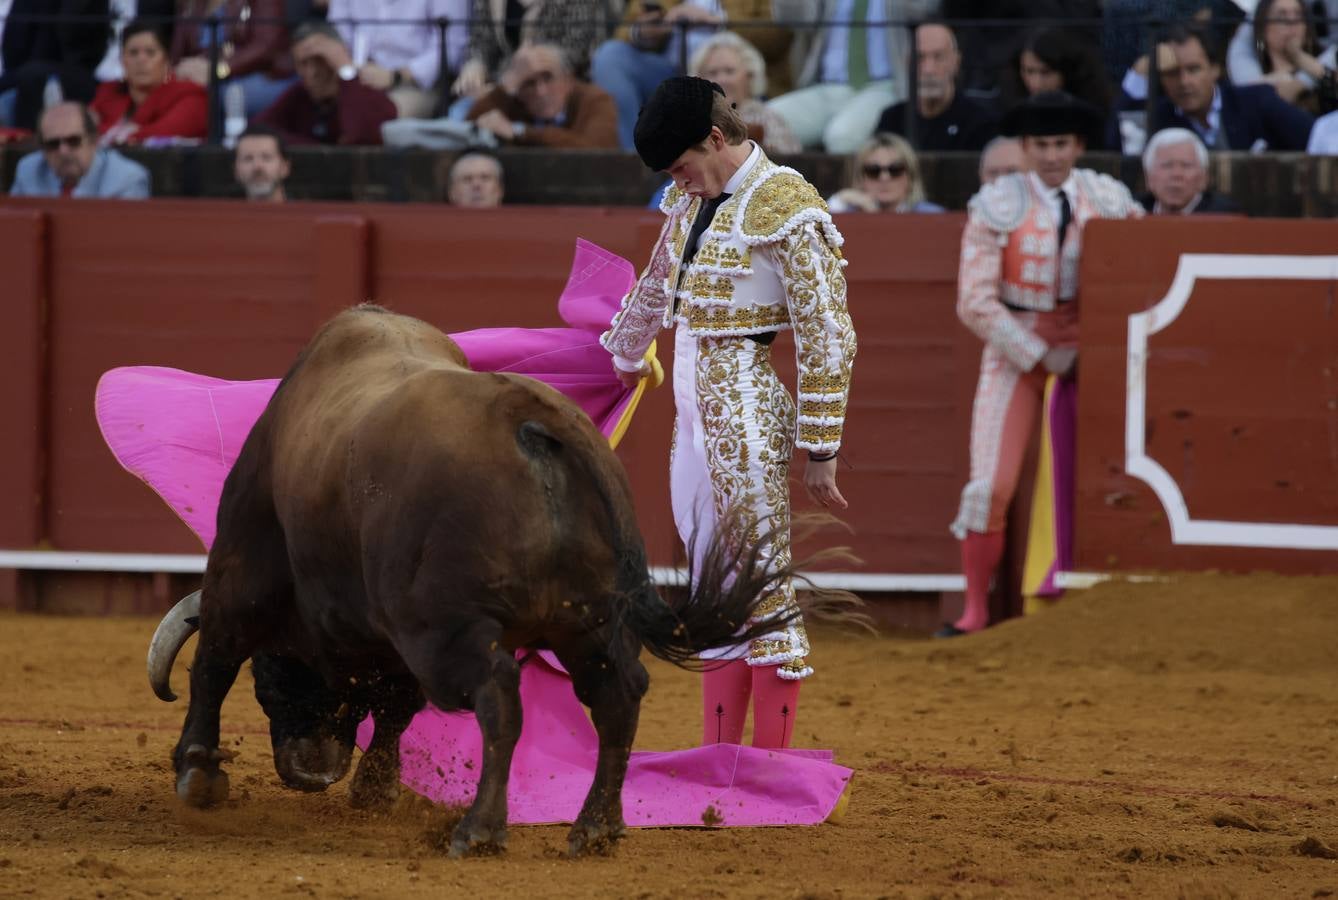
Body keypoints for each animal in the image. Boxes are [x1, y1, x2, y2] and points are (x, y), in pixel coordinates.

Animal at [143, 303, 813, 855]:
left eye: (272, 680)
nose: (311, 772)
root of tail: (533, 419)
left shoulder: (244, 572)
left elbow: (215, 662)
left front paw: (197, 773)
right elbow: (393, 703)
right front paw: (376, 790)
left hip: (449, 630)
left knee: (499, 698)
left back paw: (480, 831)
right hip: (590, 620)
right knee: (617, 696)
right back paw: (594, 828)